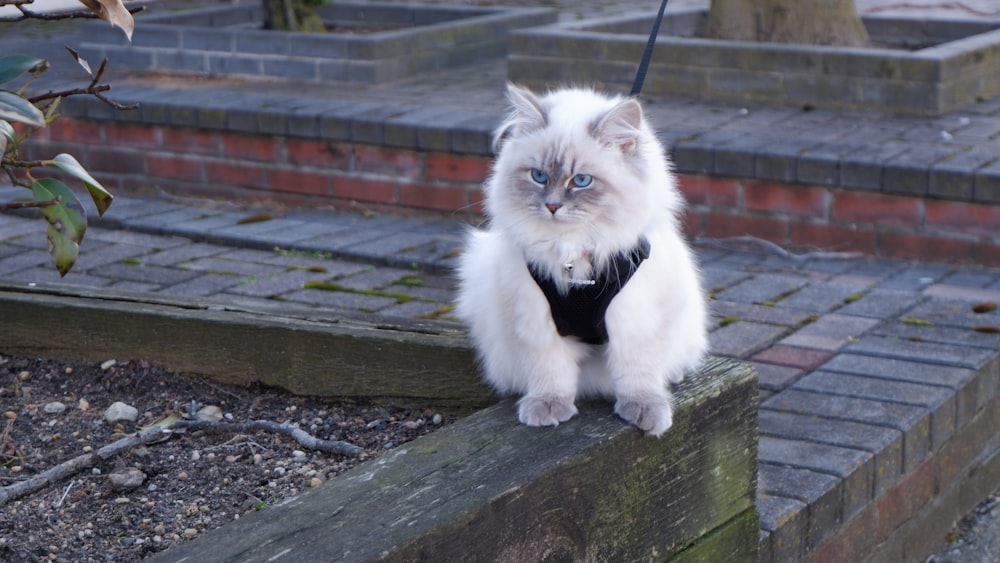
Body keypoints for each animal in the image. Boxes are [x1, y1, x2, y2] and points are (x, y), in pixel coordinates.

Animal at [458, 83, 708, 438]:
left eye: (581, 181)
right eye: (538, 176)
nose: (552, 206)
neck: (573, 250)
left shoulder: (634, 319)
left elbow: (637, 373)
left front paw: (644, 411)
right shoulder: (538, 321)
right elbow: (552, 372)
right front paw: (548, 407)